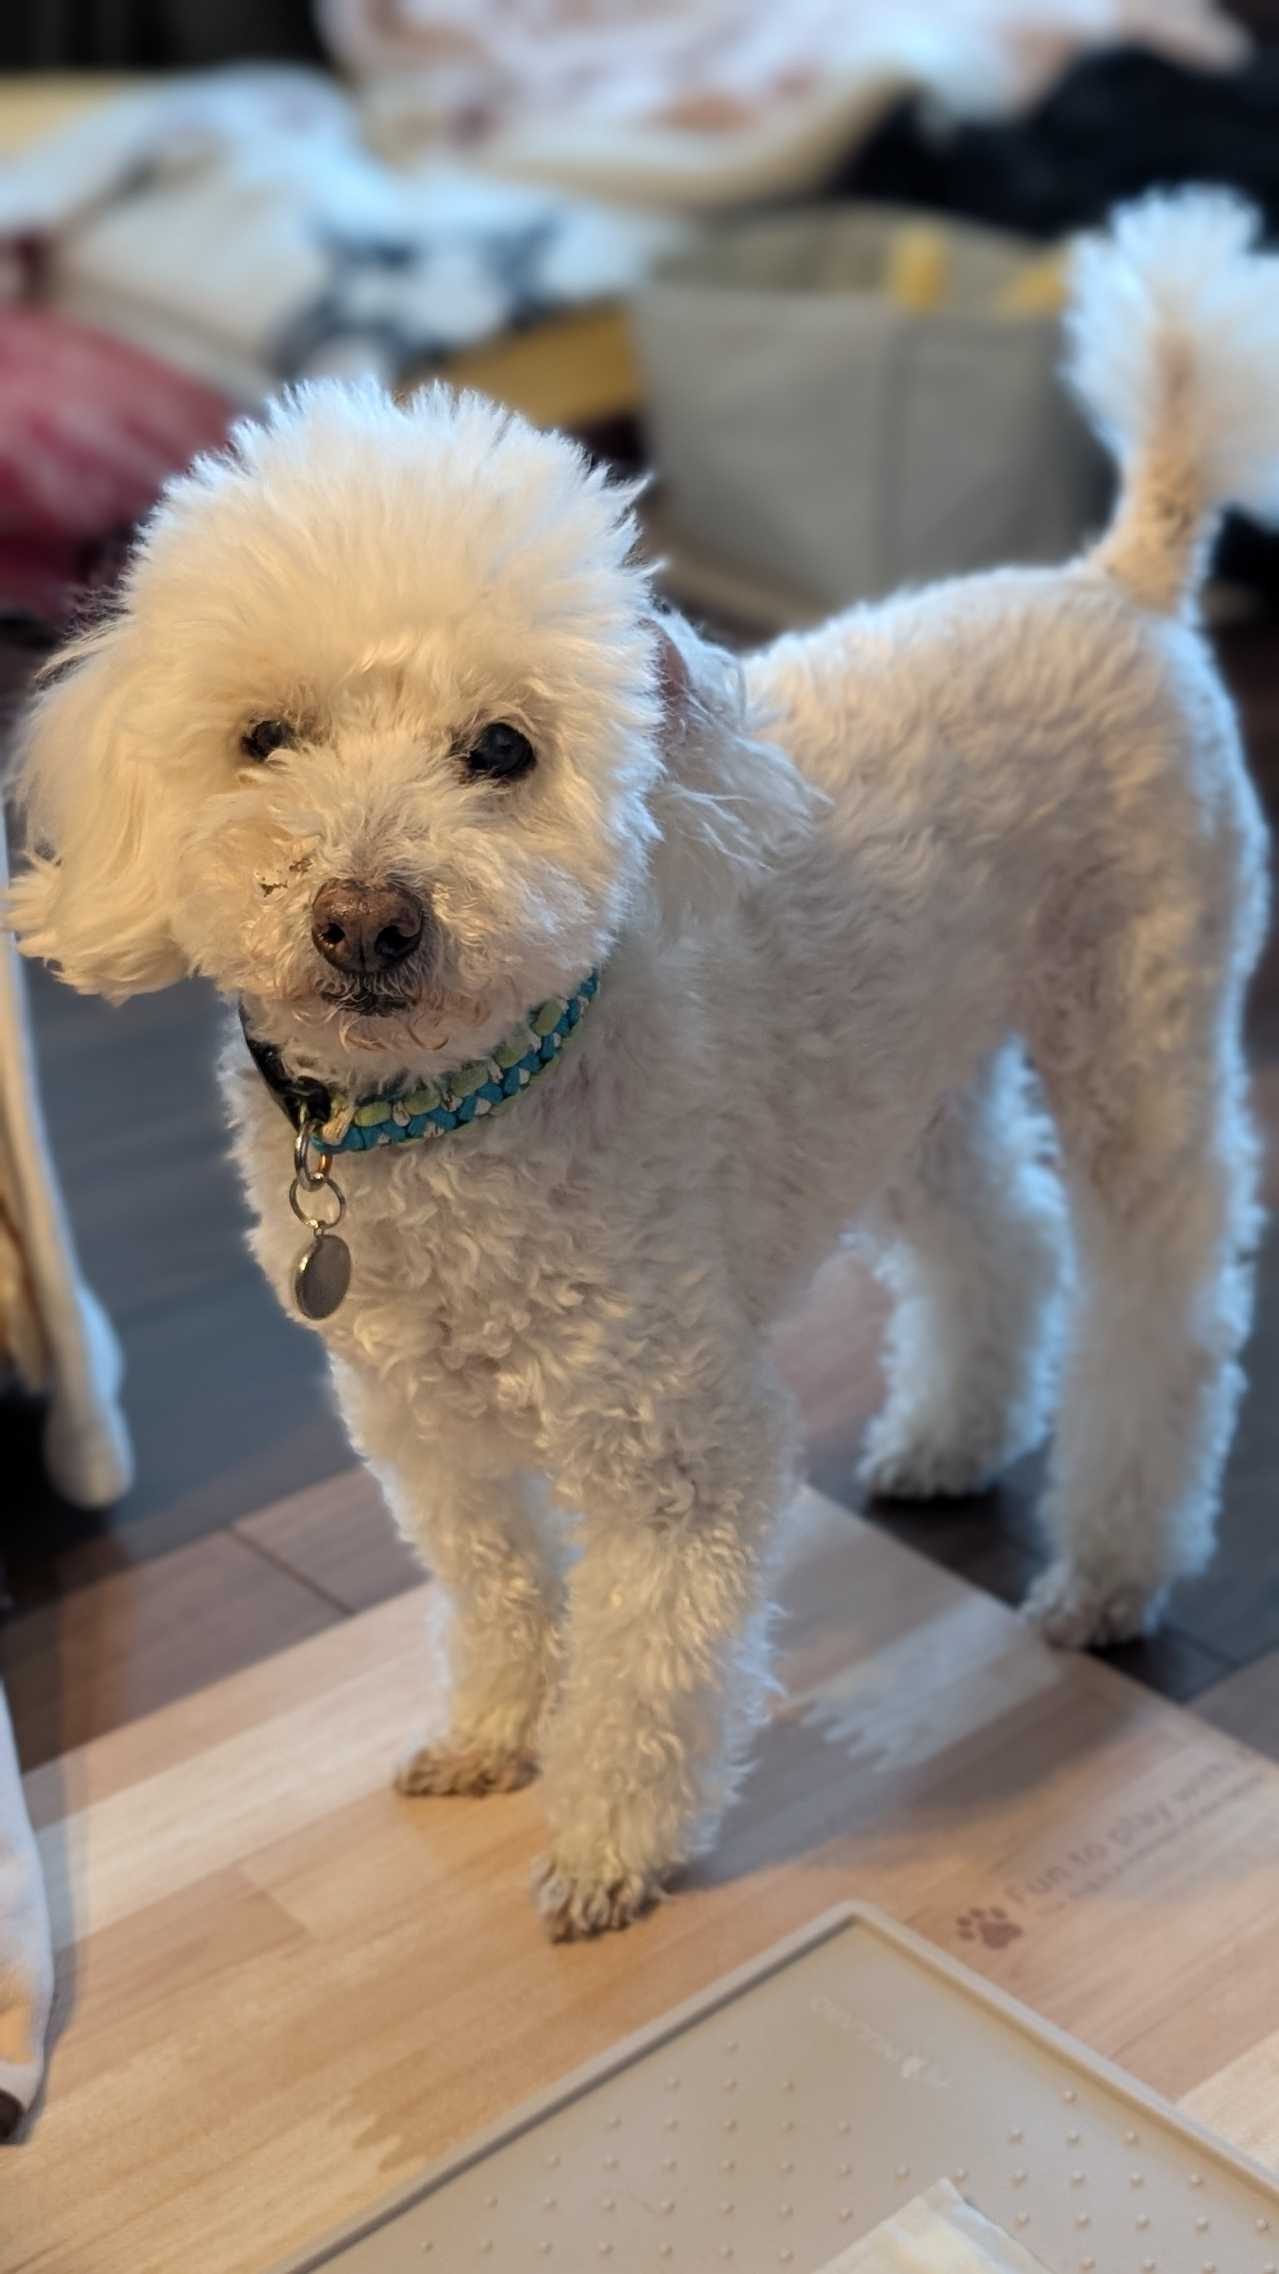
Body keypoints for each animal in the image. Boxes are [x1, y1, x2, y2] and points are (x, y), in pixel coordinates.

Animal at [8, 191, 1274, 1937]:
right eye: (265, 738)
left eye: (501, 750)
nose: (367, 917)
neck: (451, 1122)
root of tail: (1118, 577)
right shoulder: (420, 1428)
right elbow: (493, 1591)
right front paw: (489, 1732)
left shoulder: (676, 1440)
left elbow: (649, 1660)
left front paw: (609, 1845)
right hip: (907, 1065)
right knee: (993, 1237)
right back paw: (951, 1436)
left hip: (1136, 1025)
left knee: (1161, 1306)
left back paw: (1107, 1567)